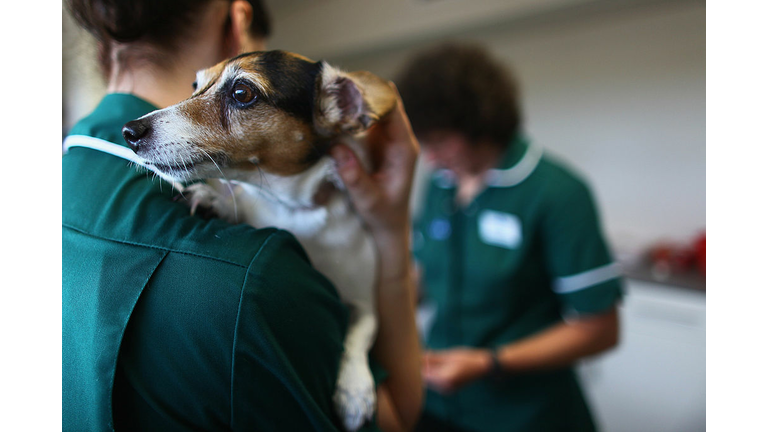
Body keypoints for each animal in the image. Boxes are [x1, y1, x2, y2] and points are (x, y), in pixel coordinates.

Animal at [121, 49, 396, 428]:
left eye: (242, 93)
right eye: (195, 85)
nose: (129, 132)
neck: (290, 209)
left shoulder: (364, 302)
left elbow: (358, 334)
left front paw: (354, 390)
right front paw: (213, 200)